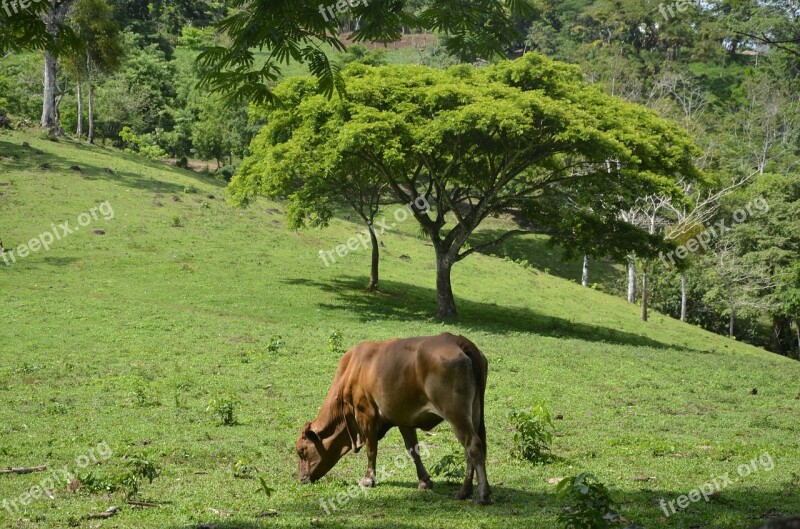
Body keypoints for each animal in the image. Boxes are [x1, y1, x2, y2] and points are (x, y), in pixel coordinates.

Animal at [296, 334, 490, 504]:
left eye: (301, 451)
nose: (301, 478)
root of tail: (459, 341)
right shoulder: (404, 418)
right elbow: (413, 450)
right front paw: (424, 481)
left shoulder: (365, 414)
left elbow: (371, 449)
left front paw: (368, 480)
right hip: (474, 412)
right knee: (469, 451)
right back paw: (464, 492)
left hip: (456, 414)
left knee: (473, 446)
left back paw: (482, 495)